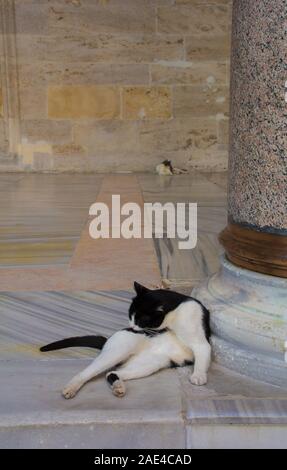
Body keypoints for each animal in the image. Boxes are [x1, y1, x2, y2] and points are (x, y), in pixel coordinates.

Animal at [40, 280, 212, 398]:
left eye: (140, 320)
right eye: (130, 316)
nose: (131, 327)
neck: (174, 316)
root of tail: (109, 339)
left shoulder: (201, 343)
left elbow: (201, 358)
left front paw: (198, 375)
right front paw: (198, 377)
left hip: (150, 364)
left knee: (112, 373)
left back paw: (118, 388)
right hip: (118, 352)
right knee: (87, 372)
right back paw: (70, 389)